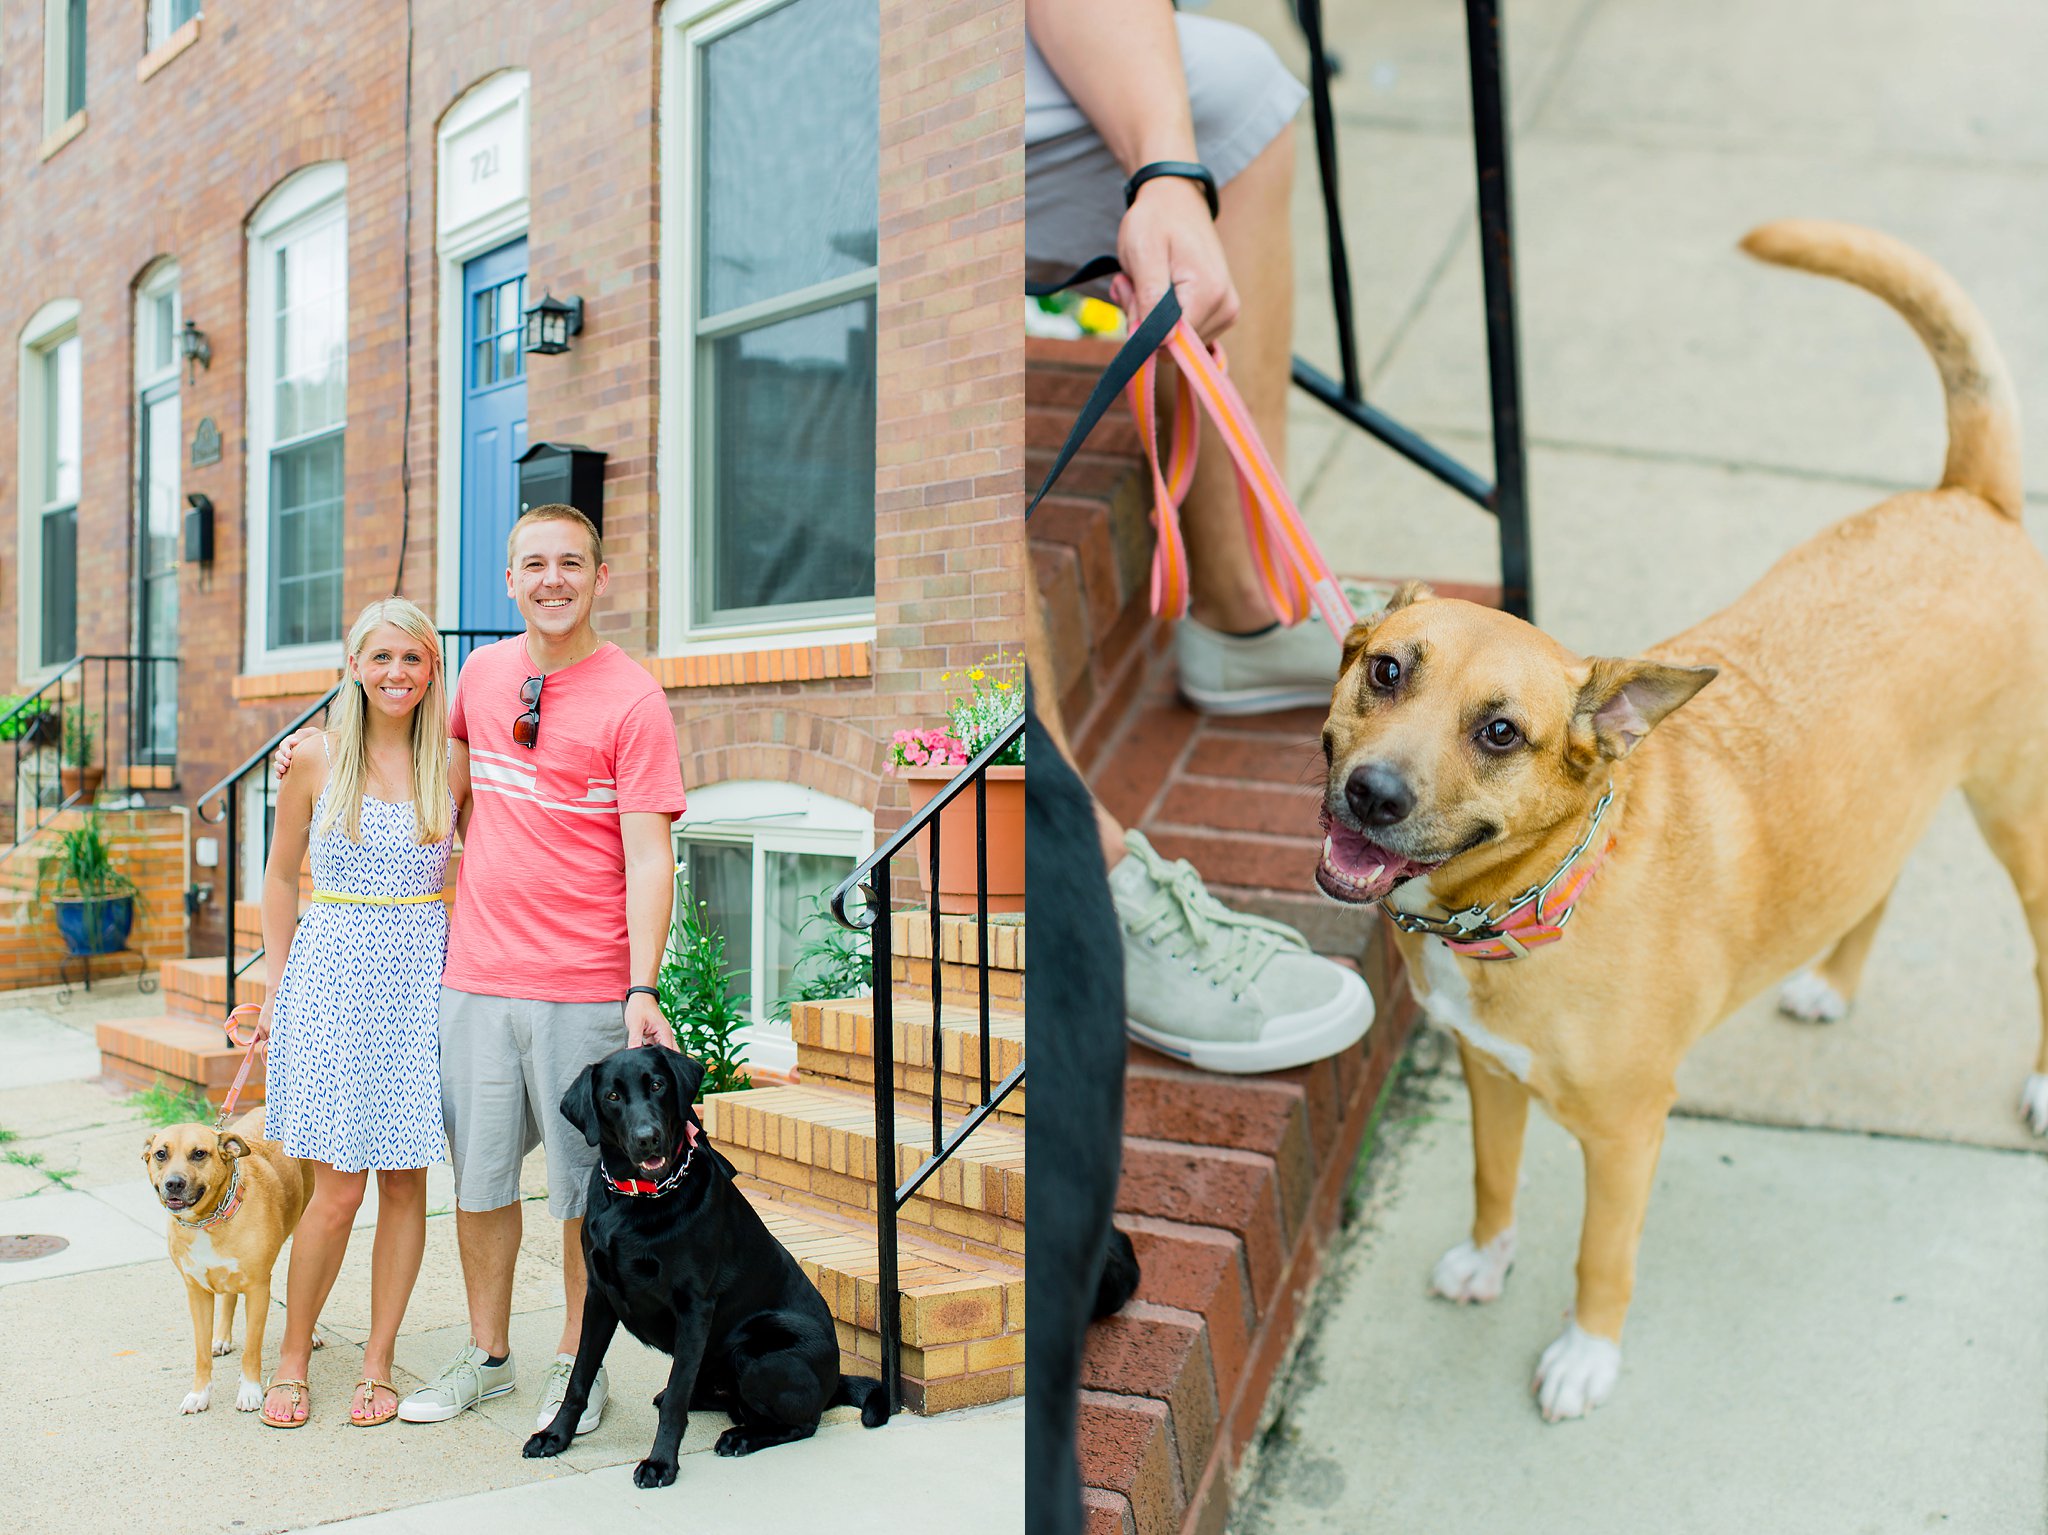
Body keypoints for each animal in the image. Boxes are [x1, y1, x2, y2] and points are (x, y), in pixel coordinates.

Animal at [142, 1113, 313, 1416]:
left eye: (199, 1153)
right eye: (161, 1154)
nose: (173, 1183)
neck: (209, 1220)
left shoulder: (258, 1290)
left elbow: (252, 1349)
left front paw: (249, 1392)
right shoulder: (196, 1293)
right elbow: (200, 1352)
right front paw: (199, 1394)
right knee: (229, 1297)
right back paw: (221, 1337)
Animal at [524, 1047, 884, 1489]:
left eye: (657, 1085)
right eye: (612, 1096)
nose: (647, 1138)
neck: (637, 1199)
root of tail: (835, 1380)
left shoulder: (694, 1306)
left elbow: (675, 1402)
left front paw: (661, 1463)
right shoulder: (599, 1296)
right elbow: (579, 1378)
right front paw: (555, 1436)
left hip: (758, 1354)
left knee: (803, 1422)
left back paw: (740, 1437)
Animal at [1318, 222, 2039, 1424]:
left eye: (1500, 731)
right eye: (1384, 669)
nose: (1369, 795)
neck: (1538, 900)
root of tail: (1968, 497)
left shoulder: (1625, 1133)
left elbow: (1598, 1256)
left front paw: (1585, 1354)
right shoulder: (1485, 1076)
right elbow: (1491, 1178)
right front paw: (1486, 1256)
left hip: (2022, 816)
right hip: (1882, 802)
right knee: (1875, 877)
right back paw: (1831, 981)